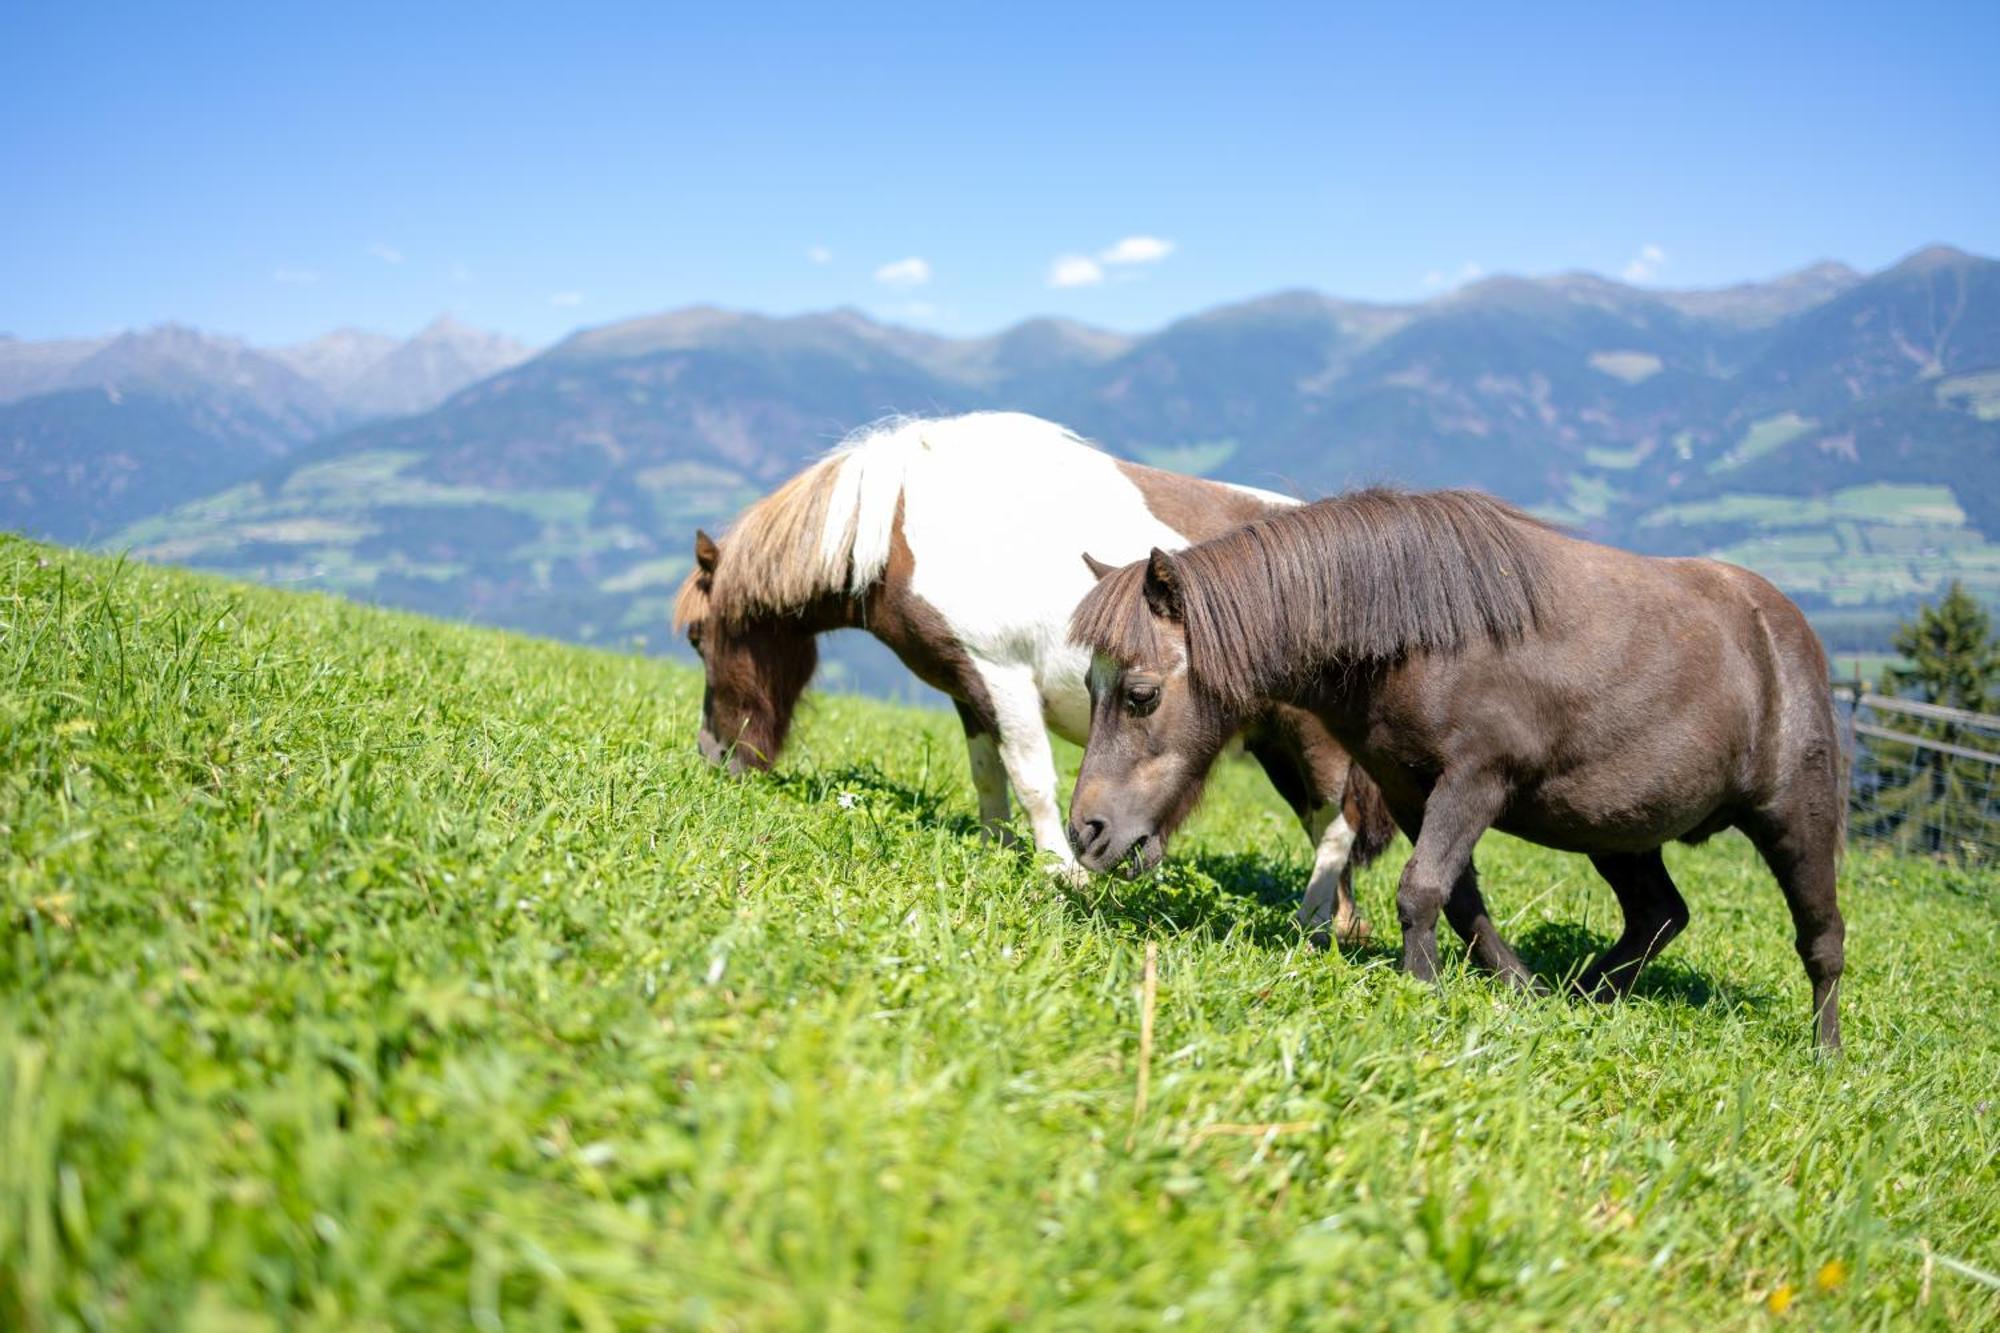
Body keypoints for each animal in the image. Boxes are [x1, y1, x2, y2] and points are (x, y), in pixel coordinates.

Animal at [672, 412, 1392, 932]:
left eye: (698, 637)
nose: (715, 755)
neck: (907, 527)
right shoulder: (967, 685)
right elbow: (988, 774)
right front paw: (998, 849)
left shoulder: (1001, 673)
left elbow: (1032, 778)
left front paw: (1060, 871)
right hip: (1275, 744)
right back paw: (1341, 924)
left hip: (1310, 737)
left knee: (1338, 825)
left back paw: (1313, 924)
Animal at [1072, 488, 1848, 1048]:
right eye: (1089, 685)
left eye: (1141, 695)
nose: (1087, 832)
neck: (1416, 631)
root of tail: (1787, 631)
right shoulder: (1411, 789)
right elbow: (1459, 900)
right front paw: (1521, 989)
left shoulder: (1476, 781)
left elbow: (1422, 889)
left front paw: (1423, 990)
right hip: (1619, 833)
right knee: (1659, 915)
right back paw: (1587, 998)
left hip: (1793, 820)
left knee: (1822, 937)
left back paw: (1825, 1053)